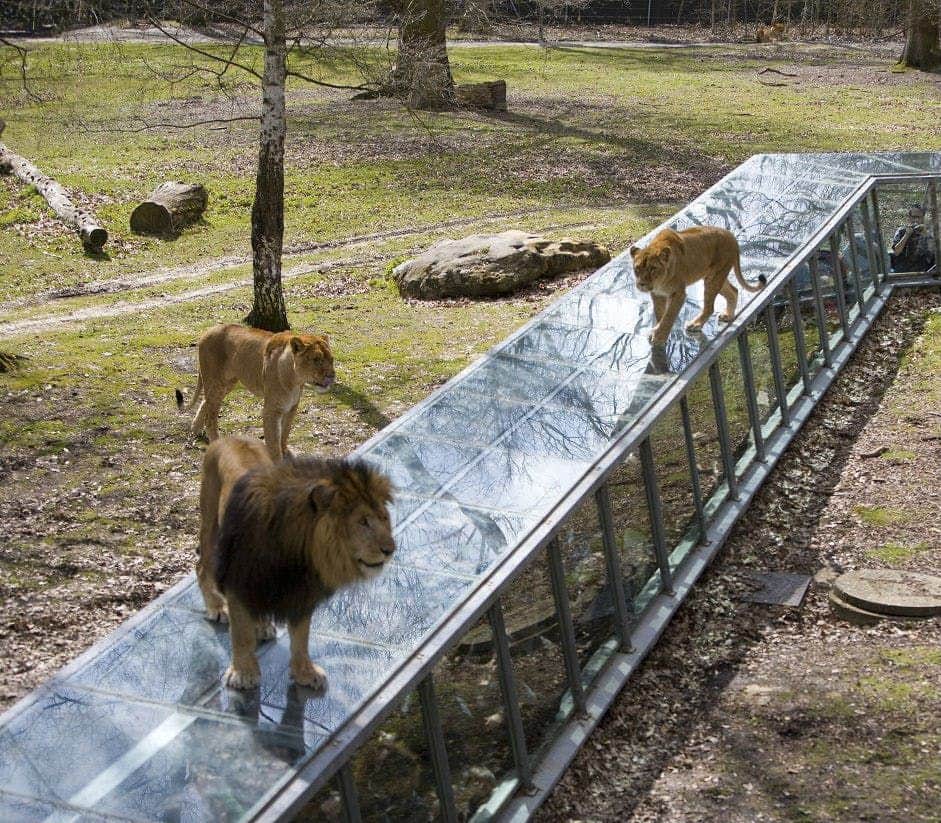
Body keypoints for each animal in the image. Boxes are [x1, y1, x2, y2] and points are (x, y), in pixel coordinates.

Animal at [176, 323, 335, 461]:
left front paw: (285, 451)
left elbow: (285, 432)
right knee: (211, 416)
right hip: (216, 382)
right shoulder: (272, 409)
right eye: (316, 359)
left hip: (227, 383)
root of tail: (209, 329)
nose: (332, 376)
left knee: (205, 402)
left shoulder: (292, 407)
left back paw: (195, 429)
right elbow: (273, 439)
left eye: (331, 359)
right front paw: (278, 461)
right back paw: (216, 441)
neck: (295, 380)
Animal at [197, 435, 396, 690]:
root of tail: (227, 438)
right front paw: (243, 673)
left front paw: (305, 672)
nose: (390, 550)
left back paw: (262, 625)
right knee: (201, 568)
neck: (296, 553)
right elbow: (241, 635)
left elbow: (301, 637)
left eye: (384, 518)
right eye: (362, 522)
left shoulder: (301, 592)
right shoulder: (238, 579)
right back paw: (216, 607)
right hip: (213, 533)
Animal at [630, 226, 766, 346]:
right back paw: (728, 315)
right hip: (715, 276)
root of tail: (731, 236)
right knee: (734, 290)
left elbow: (669, 315)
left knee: (710, 307)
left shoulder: (678, 293)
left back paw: (696, 324)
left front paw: (659, 336)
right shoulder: (657, 294)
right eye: (637, 268)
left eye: (652, 268)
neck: (660, 281)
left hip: (713, 279)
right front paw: (658, 329)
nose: (641, 284)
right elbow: (660, 314)